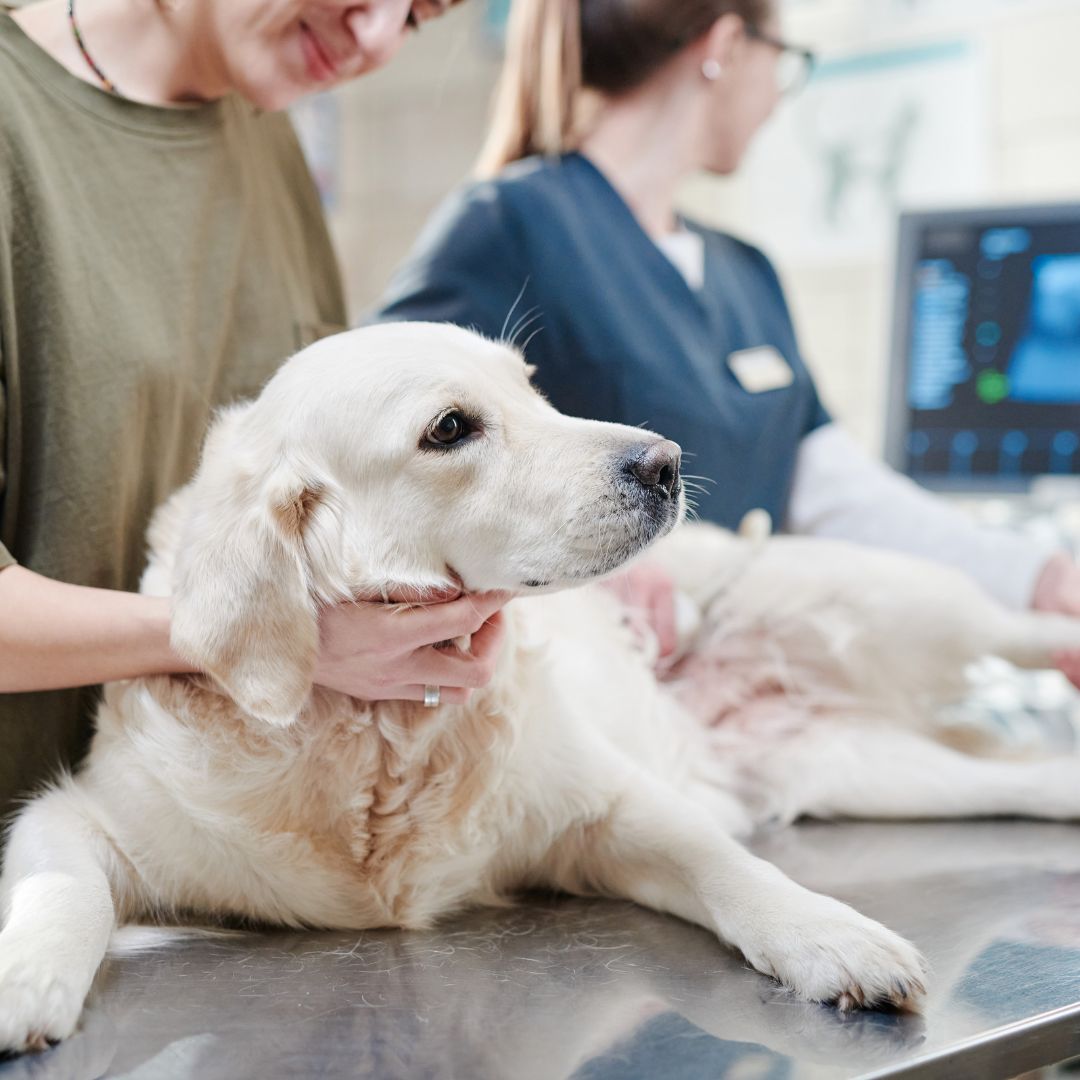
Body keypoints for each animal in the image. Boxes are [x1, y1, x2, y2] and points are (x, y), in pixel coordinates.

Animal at [2, 321, 1080, 1054]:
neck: (382, 735)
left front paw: (832, 937)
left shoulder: (608, 807)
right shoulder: (81, 815)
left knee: (1019, 629)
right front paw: (24, 981)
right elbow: (65, 888)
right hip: (877, 767)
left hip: (901, 601)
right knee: (1023, 774)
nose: (665, 461)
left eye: (532, 389)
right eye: (450, 428)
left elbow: (734, 870)